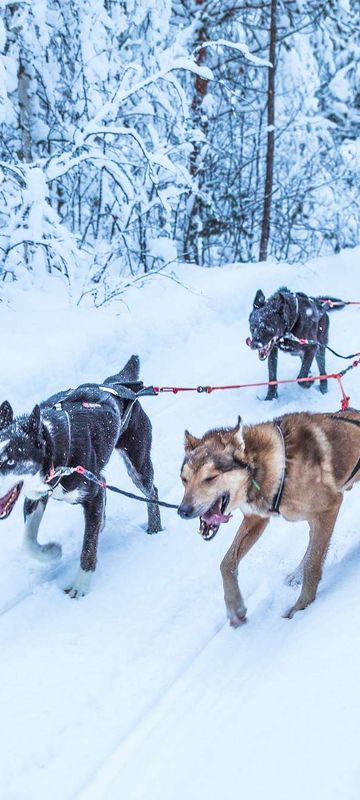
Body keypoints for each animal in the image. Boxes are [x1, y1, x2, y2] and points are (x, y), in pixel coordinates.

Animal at [0, 354, 161, 592]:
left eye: (10, 460)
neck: (53, 446)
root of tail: (116, 383)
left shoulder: (93, 494)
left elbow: (88, 548)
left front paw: (80, 586)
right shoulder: (39, 495)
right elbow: (28, 542)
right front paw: (50, 551)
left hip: (137, 463)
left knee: (151, 492)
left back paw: (154, 527)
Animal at [178, 412, 360, 624]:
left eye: (210, 478)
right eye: (184, 479)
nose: (183, 511)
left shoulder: (329, 507)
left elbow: (313, 566)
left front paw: (301, 608)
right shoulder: (256, 519)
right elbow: (226, 563)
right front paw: (235, 608)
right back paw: (296, 574)